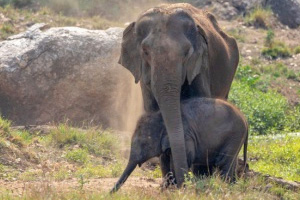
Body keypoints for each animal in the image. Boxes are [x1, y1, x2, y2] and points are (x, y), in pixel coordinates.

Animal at [111, 97, 247, 193]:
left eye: (145, 144)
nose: (109, 193)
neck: (161, 117)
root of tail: (245, 120)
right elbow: (167, 160)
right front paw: (166, 189)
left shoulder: (186, 137)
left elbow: (182, 159)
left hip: (234, 136)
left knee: (223, 163)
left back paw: (224, 187)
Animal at [118, 2, 239, 186]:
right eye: (145, 51)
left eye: (187, 52)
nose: (181, 182)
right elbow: (154, 112)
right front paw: (168, 184)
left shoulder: (200, 67)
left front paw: (198, 180)